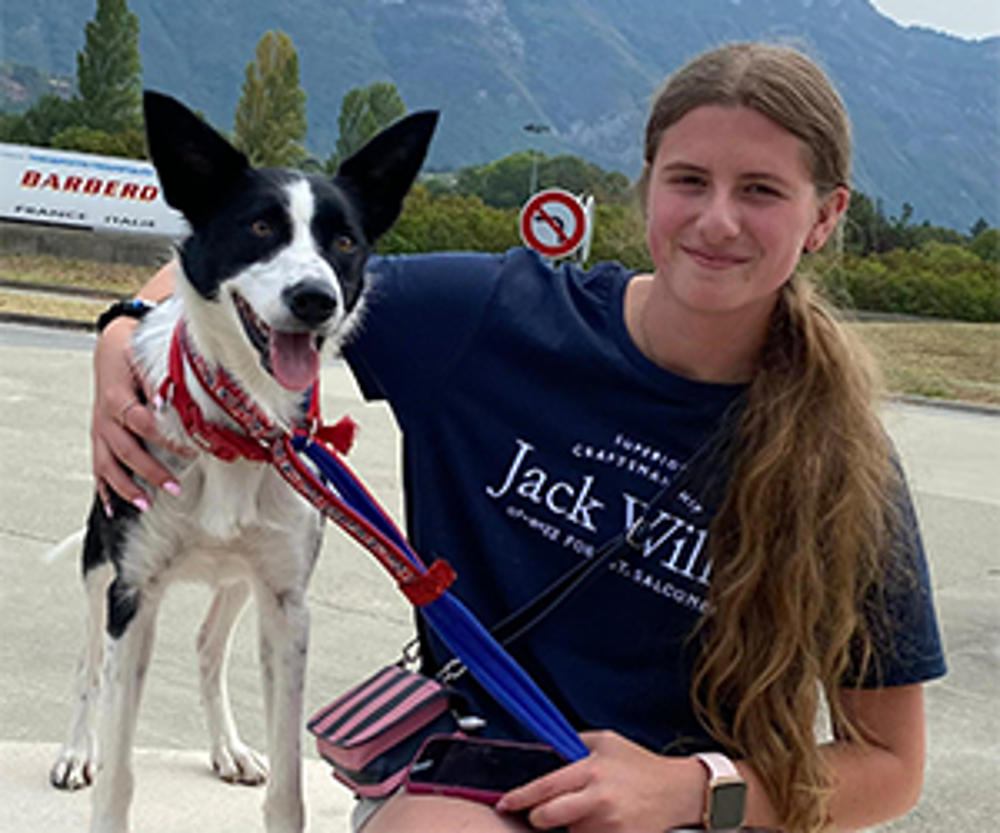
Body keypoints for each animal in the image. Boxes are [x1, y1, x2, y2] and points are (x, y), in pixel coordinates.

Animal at [49, 92, 434, 832]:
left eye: (345, 242)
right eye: (260, 226)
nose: (316, 299)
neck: (238, 427)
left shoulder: (286, 603)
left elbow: (288, 788)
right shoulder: (133, 592)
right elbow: (118, 771)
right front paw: (98, 769)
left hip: (239, 578)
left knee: (206, 646)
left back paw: (227, 747)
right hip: (99, 561)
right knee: (87, 663)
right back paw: (76, 749)